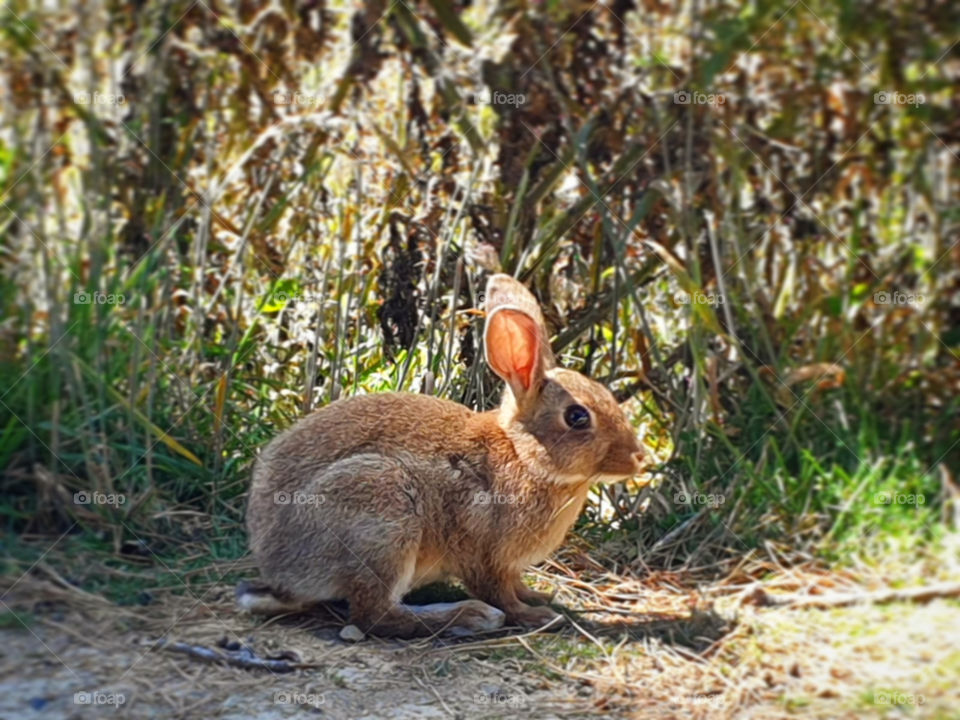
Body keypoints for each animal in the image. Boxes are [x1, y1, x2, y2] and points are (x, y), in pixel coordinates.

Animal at [239, 272, 644, 640]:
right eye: (577, 417)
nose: (638, 457)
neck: (524, 457)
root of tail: (279, 570)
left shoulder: (507, 565)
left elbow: (516, 585)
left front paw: (539, 597)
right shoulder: (485, 555)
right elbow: (498, 592)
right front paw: (536, 615)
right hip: (383, 515)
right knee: (375, 615)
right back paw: (470, 617)